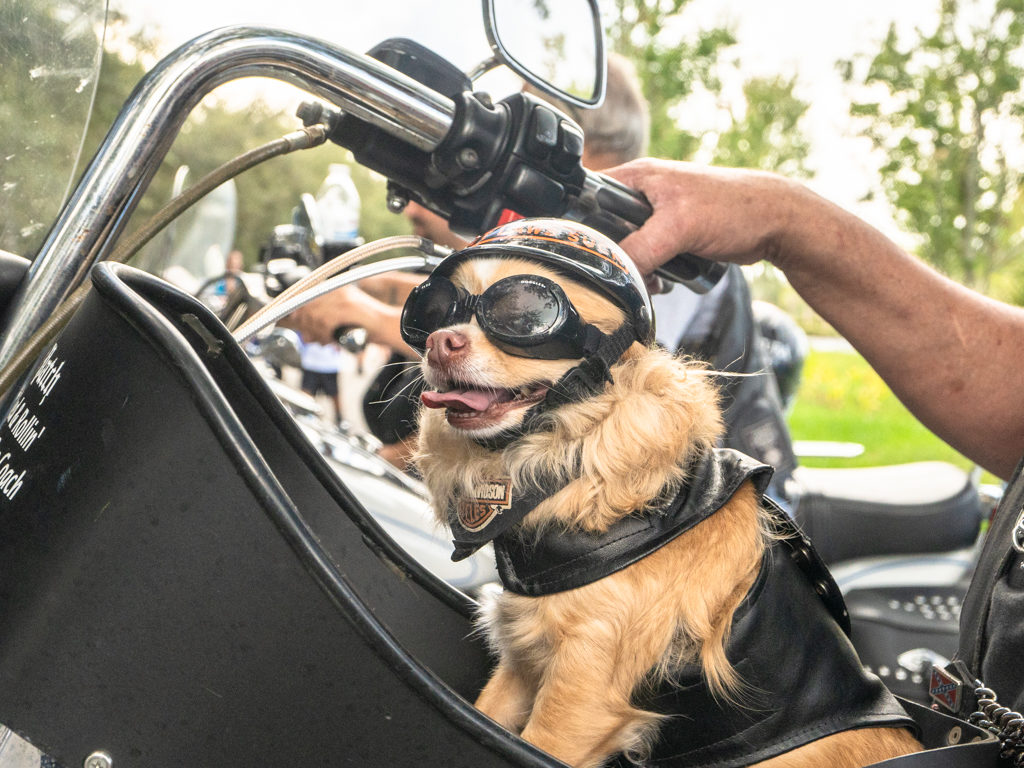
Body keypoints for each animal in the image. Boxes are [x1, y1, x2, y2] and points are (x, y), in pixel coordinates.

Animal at [399, 218, 921, 768]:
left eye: (522, 313)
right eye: (433, 312)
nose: (439, 342)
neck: (573, 457)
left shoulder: (581, 695)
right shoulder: (523, 664)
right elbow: (489, 713)